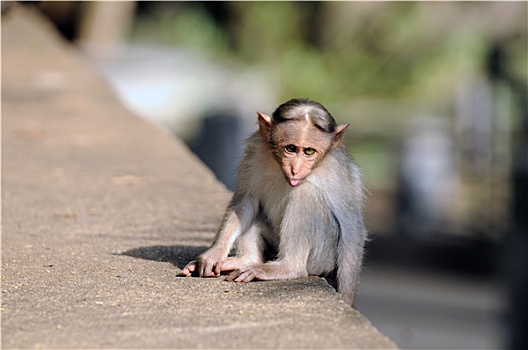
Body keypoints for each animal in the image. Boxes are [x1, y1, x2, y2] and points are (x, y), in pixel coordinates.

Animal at [183, 98, 368, 306]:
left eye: (309, 151)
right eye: (290, 148)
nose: (295, 169)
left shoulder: (338, 169)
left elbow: (351, 225)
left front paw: (347, 299)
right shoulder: (255, 149)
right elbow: (246, 199)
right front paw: (215, 253)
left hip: (324, 257)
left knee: (305, 194)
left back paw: (288, 267)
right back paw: (247, 260)